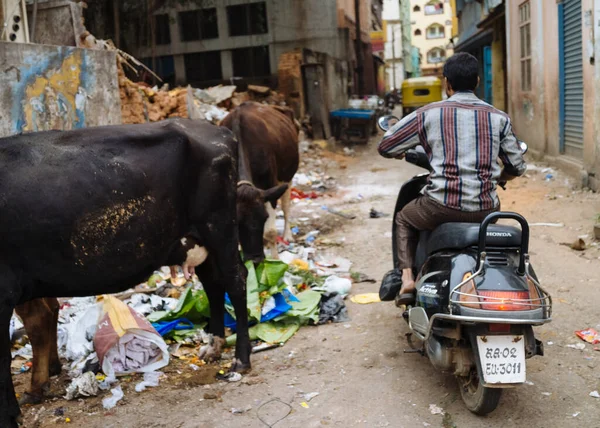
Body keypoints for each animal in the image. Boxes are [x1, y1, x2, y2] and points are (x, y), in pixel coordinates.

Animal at [0, 118, 248, 426]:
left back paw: (241, 360)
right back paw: (213, 346)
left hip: (218, 227)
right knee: (214, 284)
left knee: (236, 280)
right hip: (197, 240)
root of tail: (218, 130)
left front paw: (9, 414)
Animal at [220, 102, 300, 262]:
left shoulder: (269, 186)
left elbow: (270, 231)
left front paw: (275, 261)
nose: (255, 259)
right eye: (237, 224)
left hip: (287, 175)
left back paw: (287, 235)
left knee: (286, 206)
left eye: (264, 218)